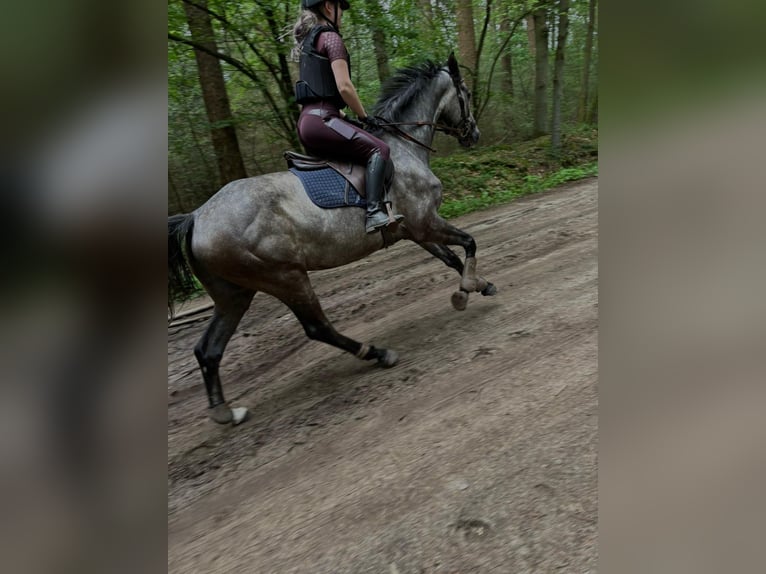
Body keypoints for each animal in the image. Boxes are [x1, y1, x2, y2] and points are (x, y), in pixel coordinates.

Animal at [170, 54, 498, 426]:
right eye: (466, 93)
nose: (473, 134)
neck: (404, 148)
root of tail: (196, 217)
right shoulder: (427, 223)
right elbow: (469, 242)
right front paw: (469, 287)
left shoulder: (415, 230)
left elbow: (451, 257)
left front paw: (477, 285)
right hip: (285, 277)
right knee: (317, 328)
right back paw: (376, 353)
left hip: (235, 292)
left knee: (208, 349)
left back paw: (225, 411)